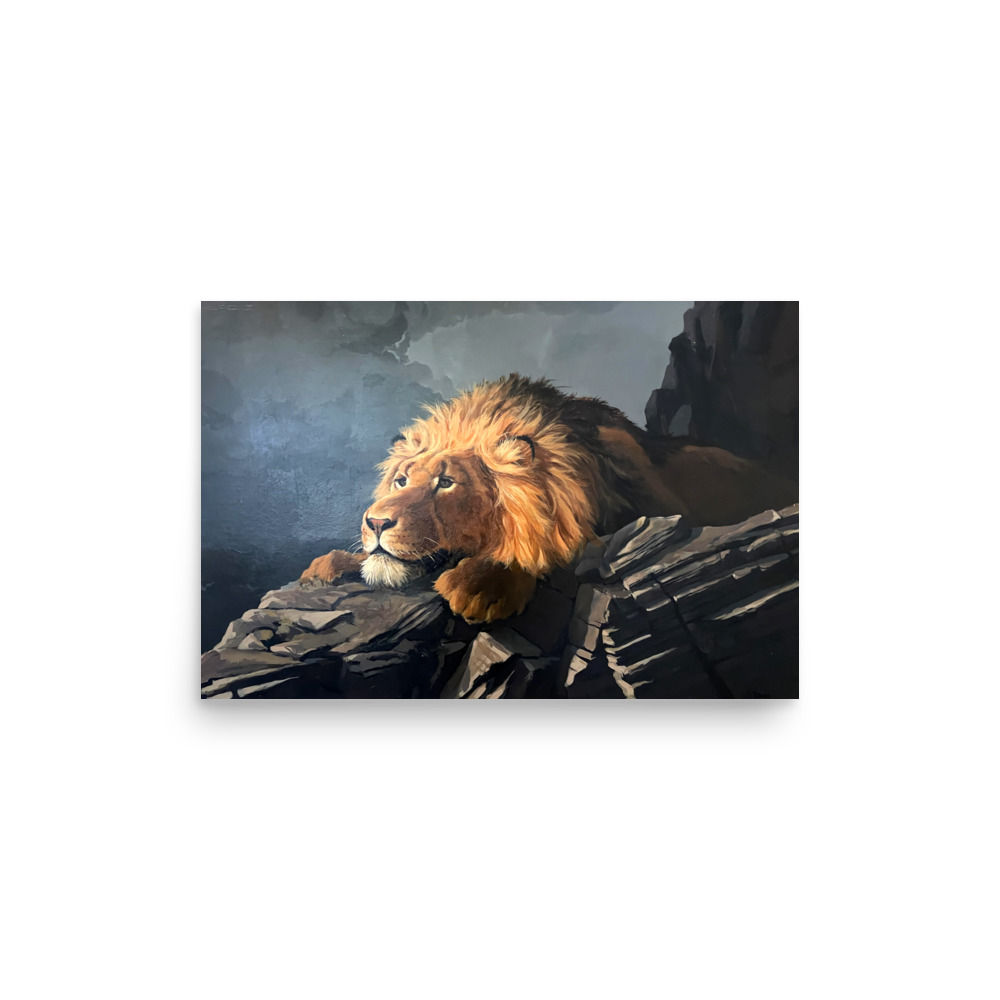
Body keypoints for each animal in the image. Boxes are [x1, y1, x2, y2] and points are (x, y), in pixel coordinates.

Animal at [300, 374, 797, 623]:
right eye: (401, 481)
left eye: (446, 483)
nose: (375, 523)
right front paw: (326, 566)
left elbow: (549, 546)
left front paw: (482, 586)